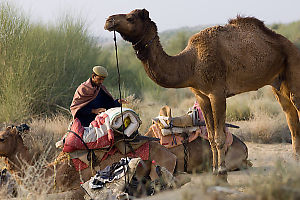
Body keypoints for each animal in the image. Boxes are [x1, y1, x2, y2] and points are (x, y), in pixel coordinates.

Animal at [105, 9, 300, 178]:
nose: (108, 20)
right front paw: (214, 169)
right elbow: (212, 137)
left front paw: (221, 170)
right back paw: (295, 160)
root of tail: (290, 43)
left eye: (130, 18)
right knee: (289, 114)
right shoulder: (202, 96)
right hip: (277, 82)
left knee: (296, 106)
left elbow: (220, 136)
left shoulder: (217, 93)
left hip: (292, 64)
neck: (190, 63)